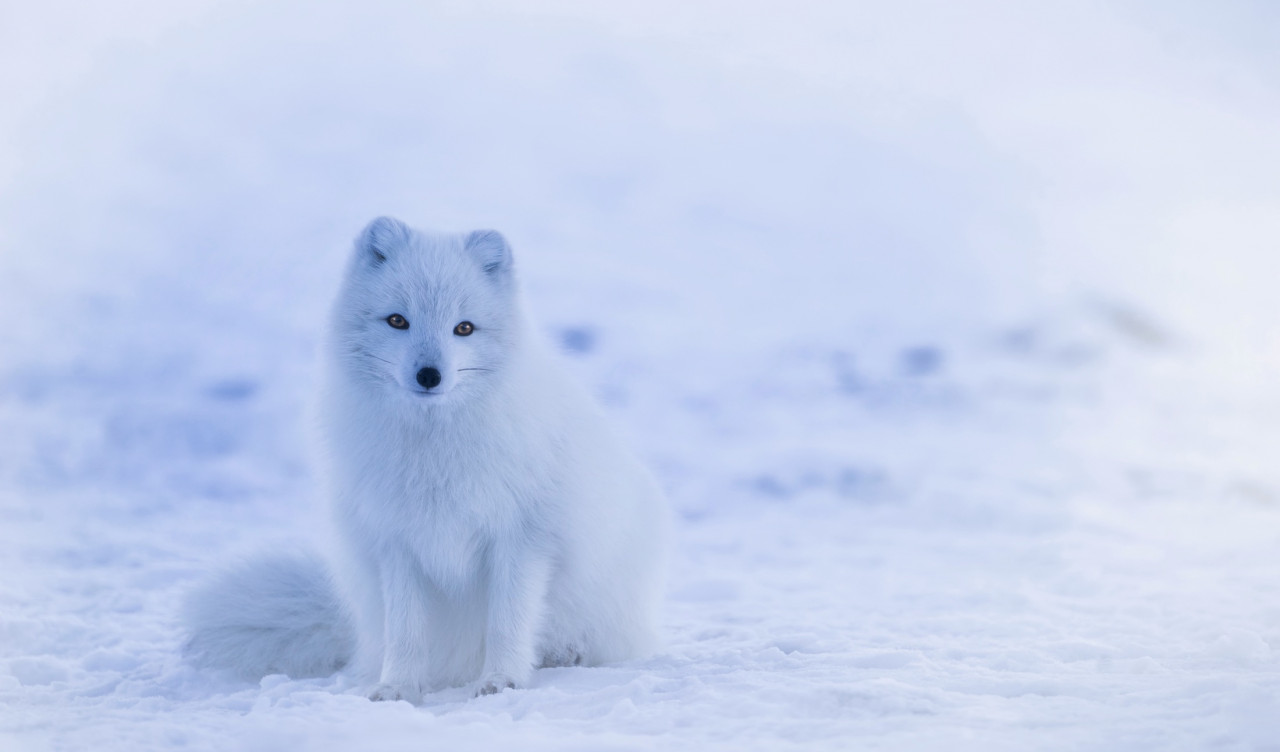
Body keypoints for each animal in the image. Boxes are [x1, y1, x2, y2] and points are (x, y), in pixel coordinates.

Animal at [186, 217, 670, 700]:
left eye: (464, 328)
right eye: (398, 320)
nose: (429, 375)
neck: (434, 450)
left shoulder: (522, 539)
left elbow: (507, 623)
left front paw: (501, 680)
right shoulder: (397, 542)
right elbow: (406, 631)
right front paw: (398, 687)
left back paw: (565, 654)